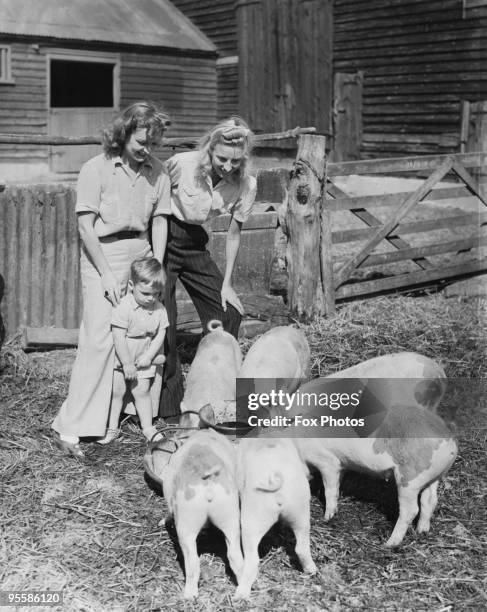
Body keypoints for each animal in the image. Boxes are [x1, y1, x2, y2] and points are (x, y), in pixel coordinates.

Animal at [146, 408, 243, 600]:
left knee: (192, 562)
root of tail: (208, 482)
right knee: (235, 556)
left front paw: (161, 521)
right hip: (229, 514)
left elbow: (168, 513)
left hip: (187, 520)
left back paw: (189, 596)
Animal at [234, 438, 318, 600]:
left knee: (252, 560)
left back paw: (240, 596)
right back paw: (312, 570)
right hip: (300, 509)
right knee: (301, 547)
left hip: (253, 516)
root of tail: (279, 489)